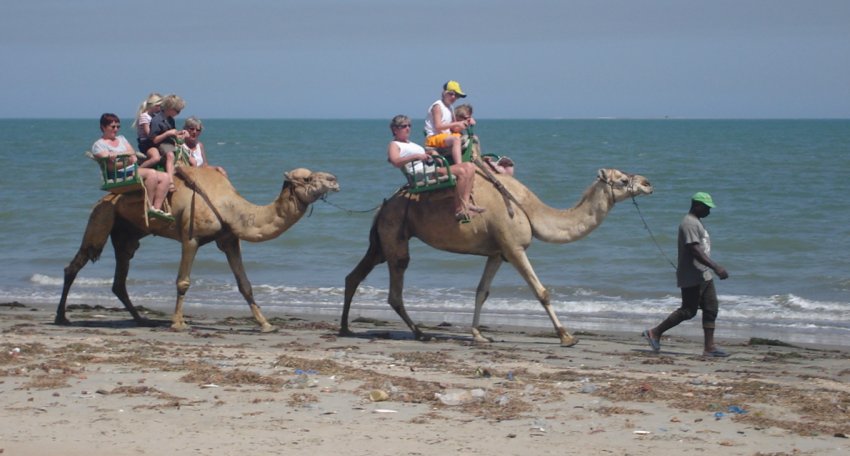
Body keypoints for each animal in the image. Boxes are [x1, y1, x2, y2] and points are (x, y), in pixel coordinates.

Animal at [53, 166, 342, 330]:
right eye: (307, 178)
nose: (335, 180)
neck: (232, 208)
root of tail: (105, 197)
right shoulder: (190, 238)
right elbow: (183, 281)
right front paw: (178, 323)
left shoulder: (229, 240)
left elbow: (245, 284)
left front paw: (266, 324)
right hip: (102, 217)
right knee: (76, 264)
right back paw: (61, 317)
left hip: (127, 234)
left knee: (119, 280)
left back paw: (141, 319)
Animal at [342, 167, 652, 346]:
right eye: (623, 179)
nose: (648, 183)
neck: (530, 210)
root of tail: (384, 204)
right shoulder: (513, 247)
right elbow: (542, 292)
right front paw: (567, 336)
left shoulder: (497, 253)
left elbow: (482, 292)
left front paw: (479, 334)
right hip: (395, 234)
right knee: (395, 287)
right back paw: (420, 333)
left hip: (381, 241)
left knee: (354, 276)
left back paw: (346, 328)